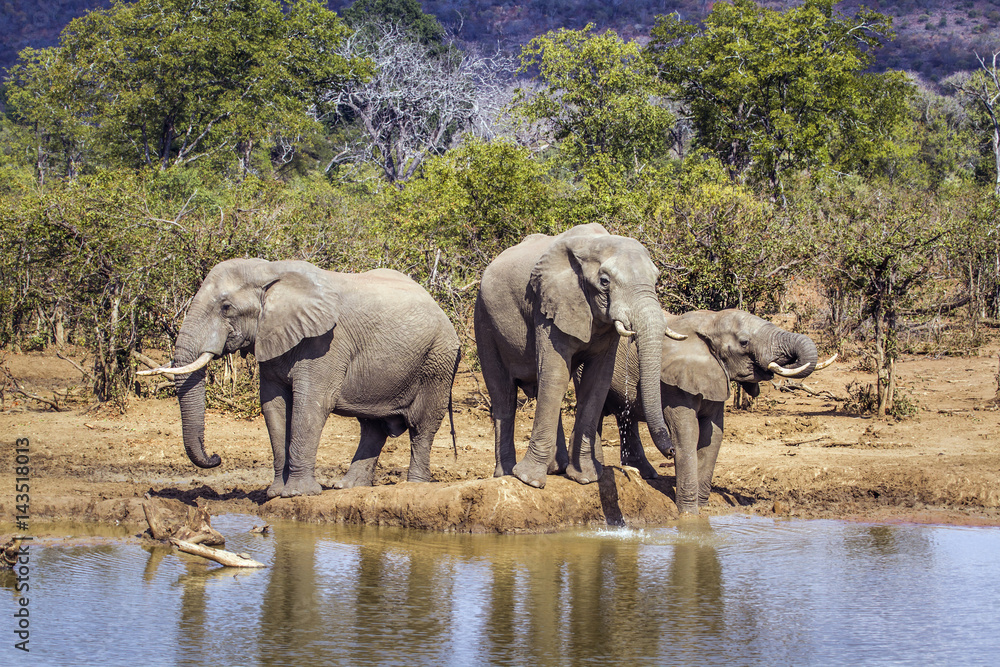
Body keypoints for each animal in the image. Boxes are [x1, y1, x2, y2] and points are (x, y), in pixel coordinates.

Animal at [140, 258, 461, 498]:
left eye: (226, 307)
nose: (215, 457)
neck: (271, 272)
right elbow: (274, 406)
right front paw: (275, 493)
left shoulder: (326, 343)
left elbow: (311, 405)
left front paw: (297, 494)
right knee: (372, 427)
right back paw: (347, 487)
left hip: (437, 360)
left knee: (422, 425)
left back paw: (414, 486)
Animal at [473, 223, 686, 488]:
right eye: (604, 282)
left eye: (656, 279)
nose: (672, 452)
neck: (593, 244)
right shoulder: (548, 304)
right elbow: (555, 374)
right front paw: (529, 481)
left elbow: (598, 381)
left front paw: (585, 478)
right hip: (483, 318)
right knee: (504, 394)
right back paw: (506, 474)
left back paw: (556, 469)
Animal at [599, 308, 835, 514]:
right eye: (744, 342)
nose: (669, 452)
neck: (710, 321)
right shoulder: (672, 382)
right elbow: (687, 433)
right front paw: (689, 513)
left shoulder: (716, 376)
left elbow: (714, 434)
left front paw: (703, 508)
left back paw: (646, 474)